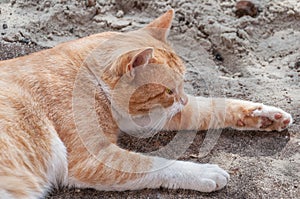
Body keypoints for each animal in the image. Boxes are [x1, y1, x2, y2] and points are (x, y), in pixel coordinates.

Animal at [0, 8, 292, 198]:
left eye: (183, 83)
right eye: (168, 91)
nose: (183, 98)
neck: (88, 76)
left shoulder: (147, 119)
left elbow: (208, 107)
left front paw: (265, 115)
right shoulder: (91, 159)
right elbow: (155, 163)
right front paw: (203, 172)